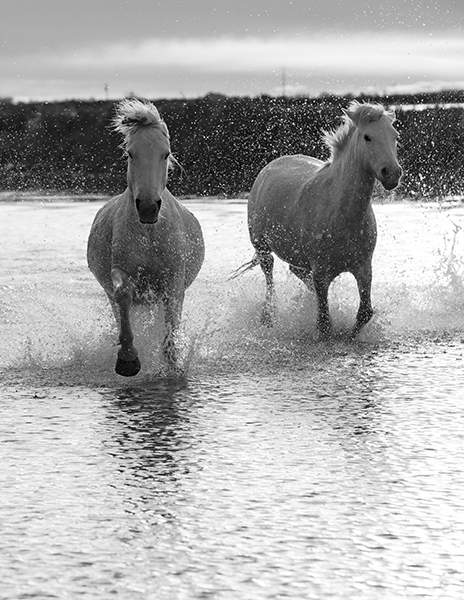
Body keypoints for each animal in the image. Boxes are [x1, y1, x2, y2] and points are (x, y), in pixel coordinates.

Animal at [87, 98, 205, 376]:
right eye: (131, 153)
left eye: (166, 153)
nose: (148, 207)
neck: (149, 235)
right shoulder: (121, 271)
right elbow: (123, 294)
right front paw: (128, 359)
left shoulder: (174, 279)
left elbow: (171, 329)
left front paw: (172, 365)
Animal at [232, 101, 402, 339]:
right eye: (367, 137)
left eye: (395, 136)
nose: (392, 173)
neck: (340, 213)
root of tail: (270, 167)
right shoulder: (321, 273)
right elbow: (324, 324)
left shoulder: (363, 268)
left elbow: (365, 313)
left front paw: (350, 336)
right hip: (262, 246)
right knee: (269, 274)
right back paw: (268, 317)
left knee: (297, 271)